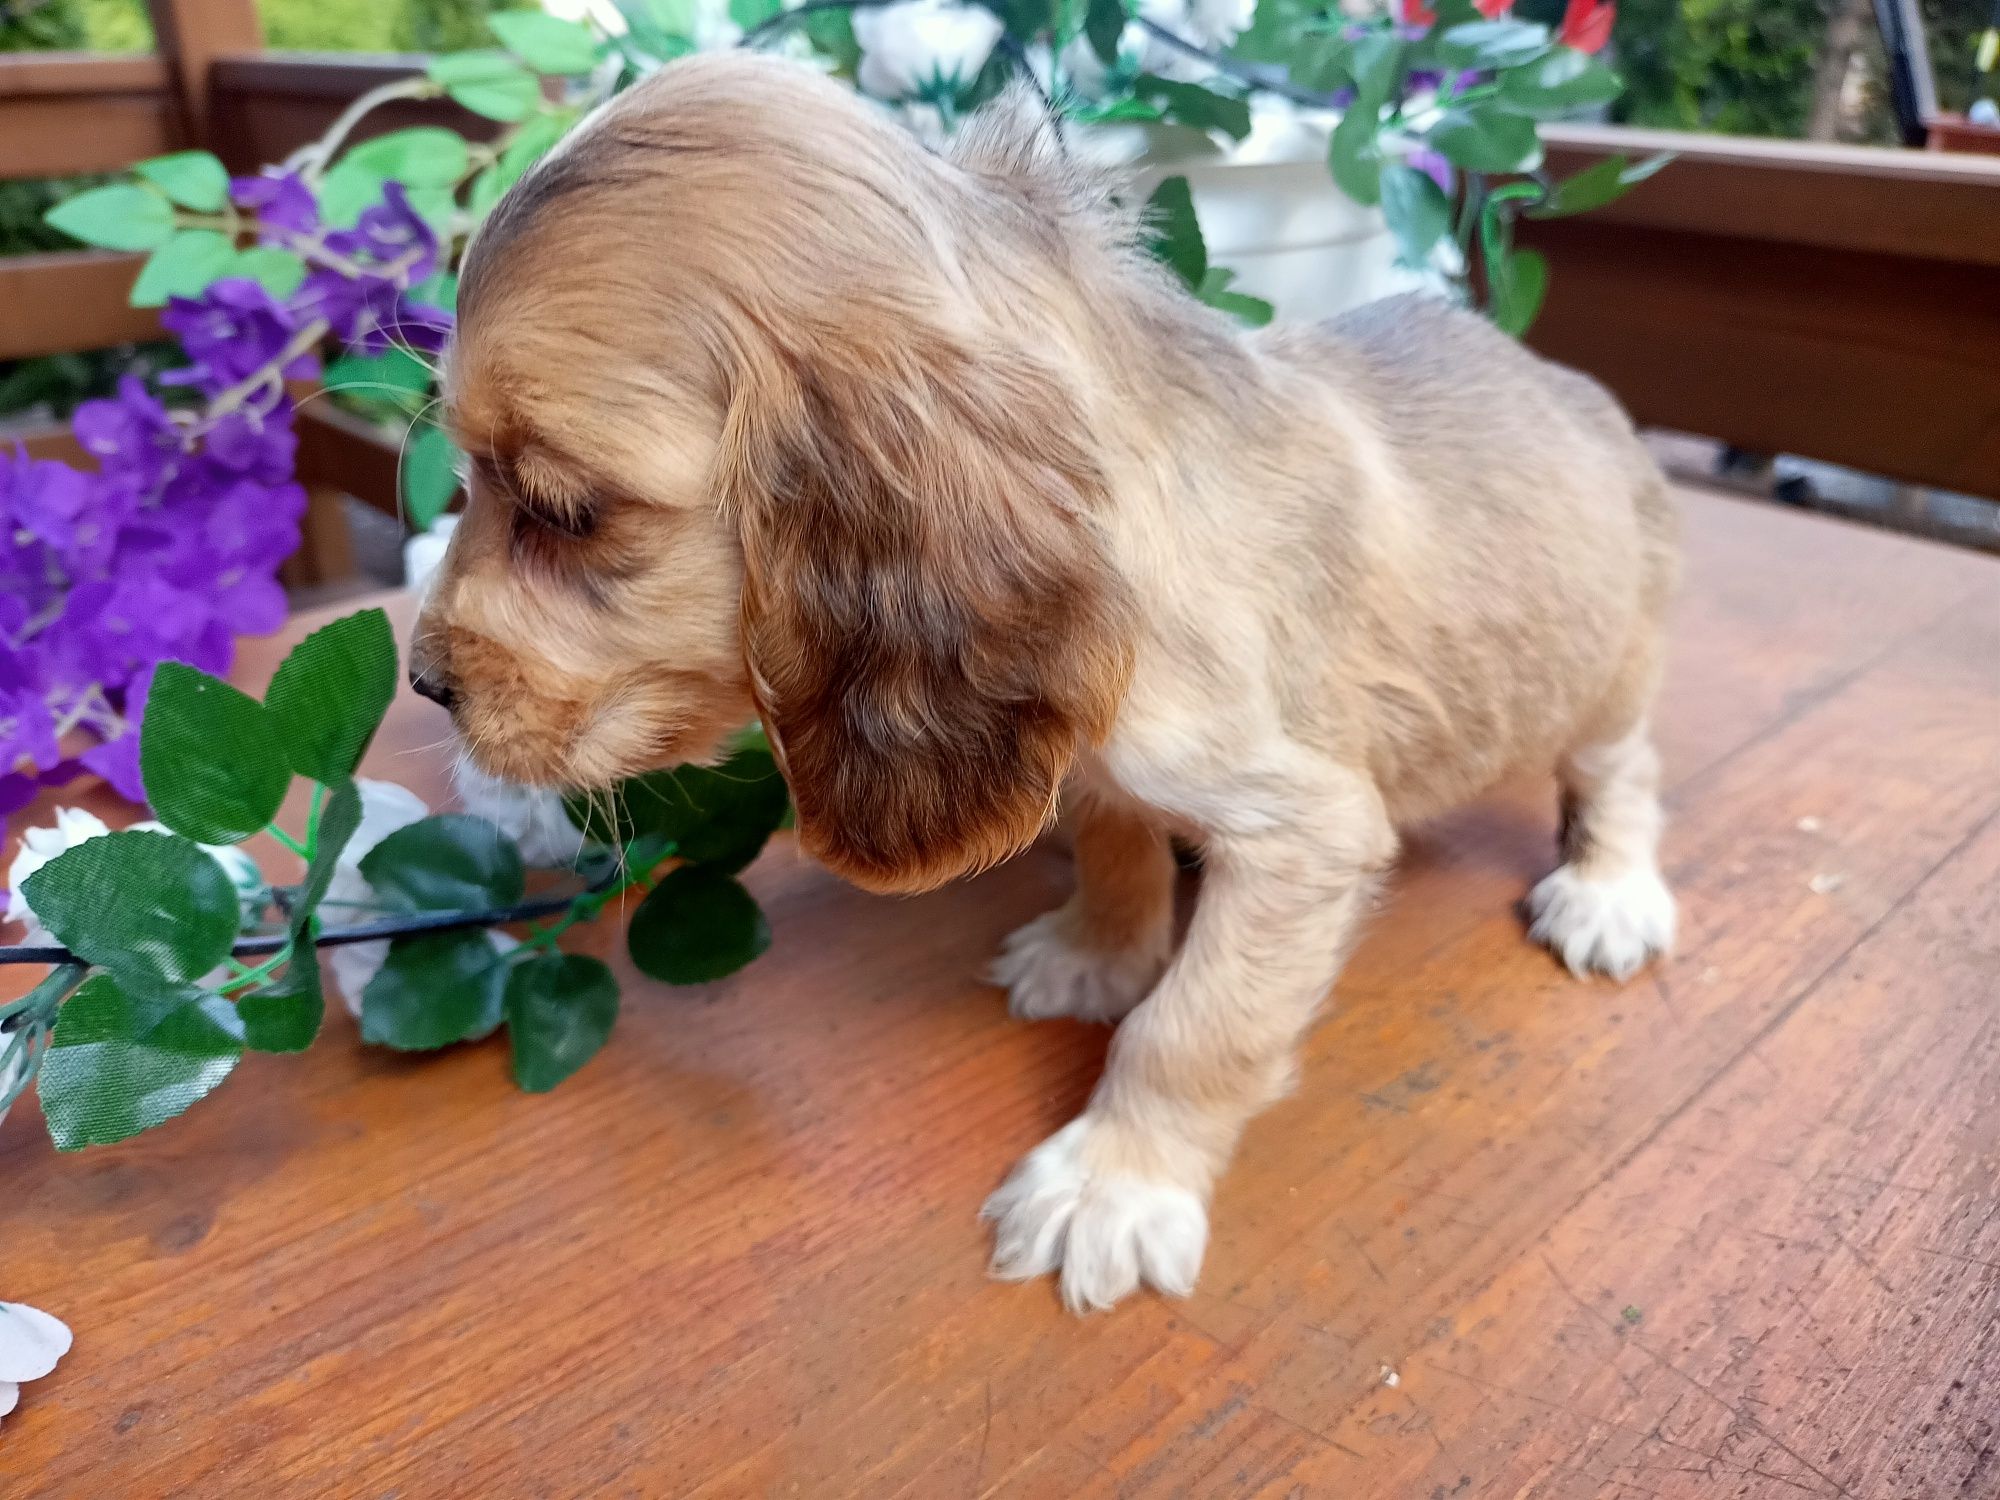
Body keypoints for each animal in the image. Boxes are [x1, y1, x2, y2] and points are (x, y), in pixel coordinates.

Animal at [414, 50, 1680, 1312]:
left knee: (1619, 775)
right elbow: (1119, 846)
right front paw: (1096, 954)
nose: (425, 685)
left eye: (563, 510)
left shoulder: (1303, 833)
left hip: (1614, 675)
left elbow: (1194, 1029)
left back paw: (1605, 888)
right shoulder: (1086, 739)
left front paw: (1116, 1183)